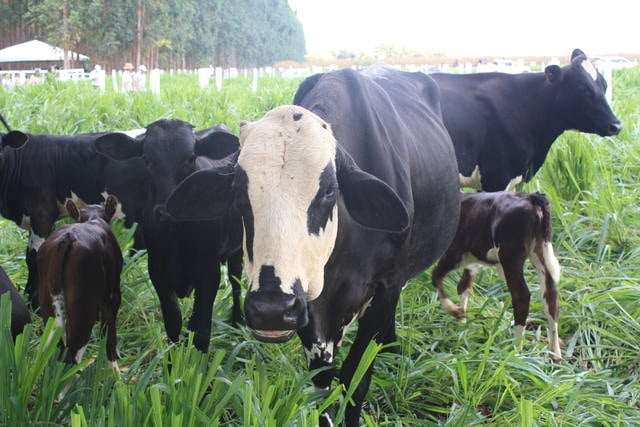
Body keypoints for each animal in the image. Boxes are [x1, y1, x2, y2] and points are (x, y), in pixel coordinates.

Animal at [37, 196, 122, 368]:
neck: (93, 218)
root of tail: (68, 237)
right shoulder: (113, 297)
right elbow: (109, 338)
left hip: (50, 310)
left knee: (58, 351)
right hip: (85, 310)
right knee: (72, 356)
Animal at [94, 118, 244, 352]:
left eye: (191, 158)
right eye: (147, 159)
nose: (165, 211)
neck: (177, 238)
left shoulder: (208, 274)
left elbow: (201, 331)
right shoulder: (158, 271)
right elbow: (174, 322)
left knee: (236, 282)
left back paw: (238, 322)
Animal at [168, 67, 462, 427]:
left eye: (329, 190)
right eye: (237, 190)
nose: (271, 309)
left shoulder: (386, 286)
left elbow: (355, 381)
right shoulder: (310, 306)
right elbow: (322, 382)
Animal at [430, 192, 560, 360]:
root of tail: (530, 197)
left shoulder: (453, 254)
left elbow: (436, 277)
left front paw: (454, 311)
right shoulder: (472, 262)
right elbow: (463, 286)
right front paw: (462, 321)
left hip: (511, 257)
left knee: (521, 295)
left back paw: (515, 350)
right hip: (540, 252)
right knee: (550, 296)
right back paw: (555, 353)